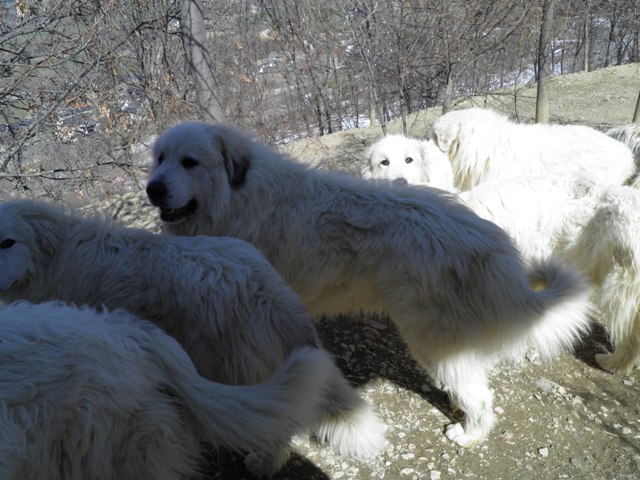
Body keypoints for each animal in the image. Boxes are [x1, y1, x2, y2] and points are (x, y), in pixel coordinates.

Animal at [145, 122, 592, 448]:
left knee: (480, 398)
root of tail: (482, 235)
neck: (235, 195)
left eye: (190, 161)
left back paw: (468, 435)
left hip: (430, 340)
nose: (153, 189)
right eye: (159, 159)